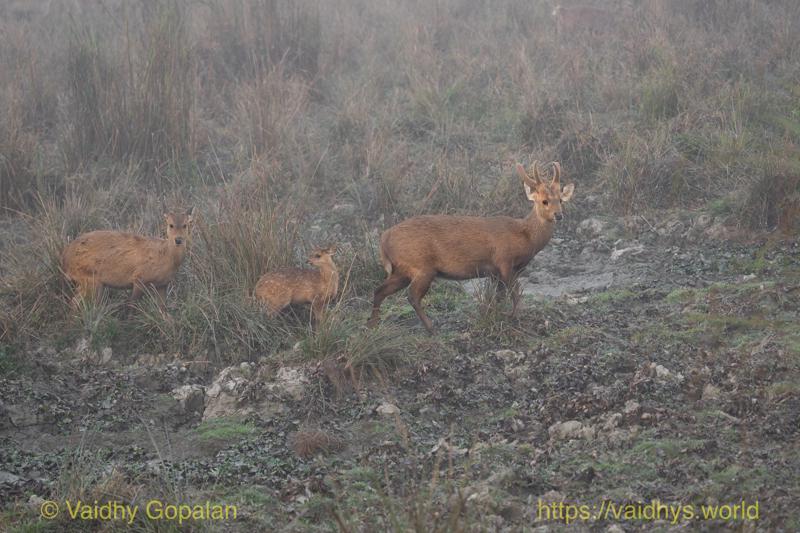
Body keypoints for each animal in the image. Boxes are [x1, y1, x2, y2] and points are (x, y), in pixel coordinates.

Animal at [61, 207, 194, 310]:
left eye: (185, 225)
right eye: (170, 225)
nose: (178, 240)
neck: (166, 257)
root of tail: (65, 259)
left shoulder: (163, 284)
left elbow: (163, 311)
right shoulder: (139, 278)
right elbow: (131, 305)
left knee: (75, 301)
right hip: (90, 278)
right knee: (80, 302)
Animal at [367, 161, 574, 334]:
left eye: (560, 200)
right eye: (544, 201)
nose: (559, 215)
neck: (525, 238)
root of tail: (384, 238)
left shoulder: (498, 271)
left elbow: (498, 297)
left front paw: (498, 314)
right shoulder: (504, 261)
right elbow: (515, 295)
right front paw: (514, 317)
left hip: (402, 269)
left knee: (379, 290)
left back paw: (373, 325)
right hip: (421, 266)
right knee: (412, 296)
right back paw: (431, 328)